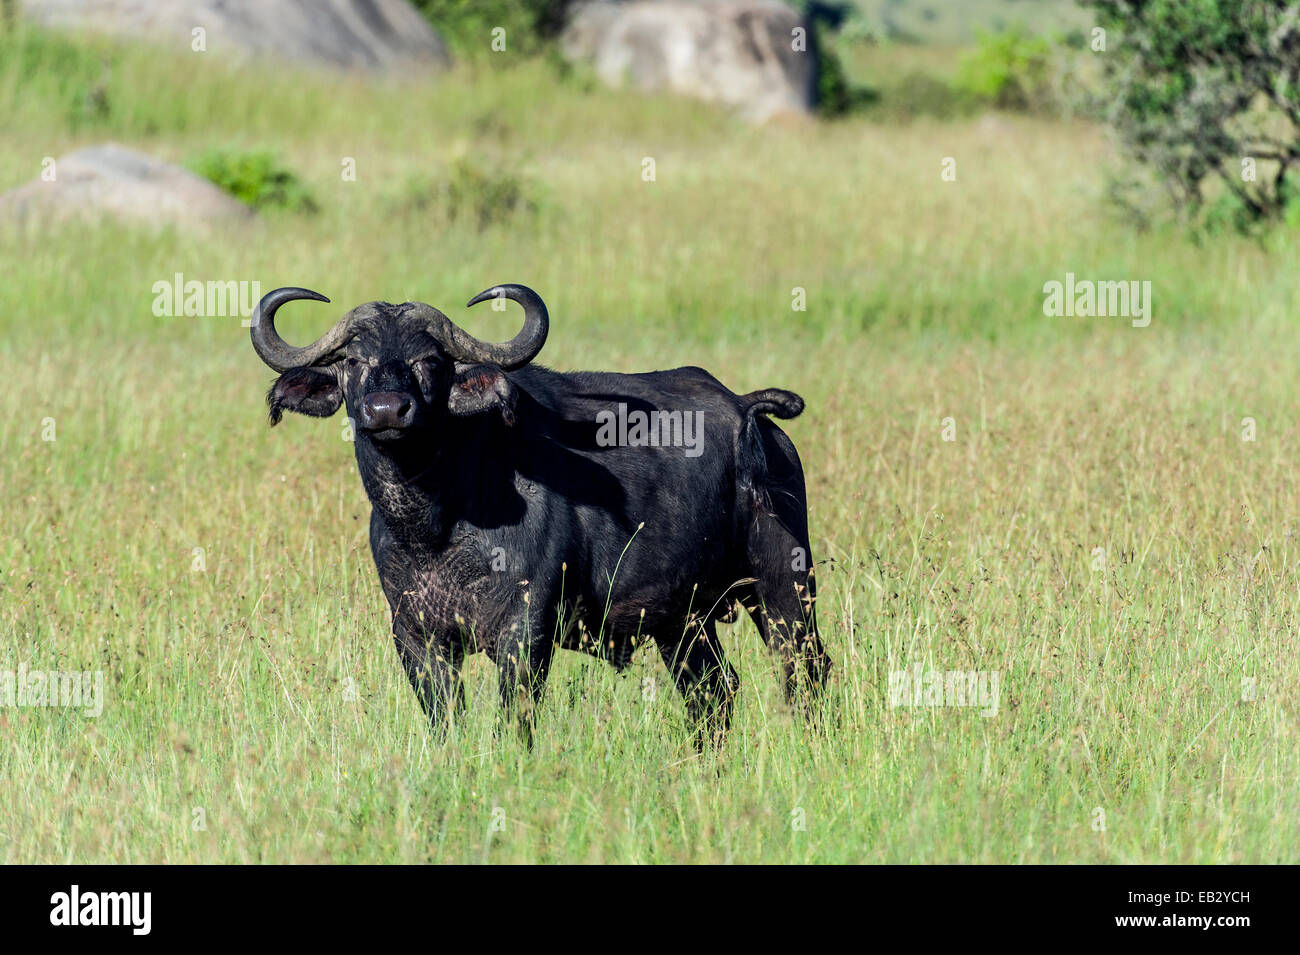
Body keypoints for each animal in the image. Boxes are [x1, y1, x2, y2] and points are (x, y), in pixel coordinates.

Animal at [250, 284, 829, 747]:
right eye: (353, 361)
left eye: (430, 361)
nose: (387, 410)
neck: (438, 524)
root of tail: (748, 410)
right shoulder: (416, 639)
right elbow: (445, 724)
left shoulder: (525, 634)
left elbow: (514, 721)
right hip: (683, 619)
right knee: (713, 691)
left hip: (784, 586)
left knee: (805, 671)